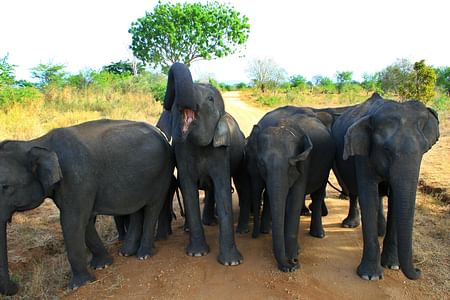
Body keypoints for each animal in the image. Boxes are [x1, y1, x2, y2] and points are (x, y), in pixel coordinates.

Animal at [0, 119, 174, 296]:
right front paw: (102, 265)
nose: (16, 286)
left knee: (153, 207)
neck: (36, 142)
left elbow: (72, 222)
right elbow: (85, 221)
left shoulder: (77, 178)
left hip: (162, 173)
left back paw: (143, 255)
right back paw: (126, 252)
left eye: (5, 187)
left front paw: (79, 285)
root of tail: (161, 134)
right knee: (137, 208)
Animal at [156, 62, 250, 266]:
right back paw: (195, 227)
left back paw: (213, 222)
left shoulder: (221, 151)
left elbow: (222, 188)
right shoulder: (182, 152)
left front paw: (232, 263)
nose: (168, 100)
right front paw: (197, 254)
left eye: (210, 99)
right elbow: (188, 188)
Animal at [244, 105, 336, 272]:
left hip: (327, 166)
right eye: (261, 165)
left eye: (291, 166)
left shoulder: (305, 162)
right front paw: (292, 258)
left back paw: (318, 235)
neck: (283, 124)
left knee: (318, 194)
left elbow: (294, 200)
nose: (294, 263)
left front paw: (293, 258)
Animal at [332, 93, 442, 282]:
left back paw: (380, 231)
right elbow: (368, 195)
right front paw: (370, 276)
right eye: (386, 149)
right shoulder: (363, 155)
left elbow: (396, 198)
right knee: (354, 191)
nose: (419, 270)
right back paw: (350, 224)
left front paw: (393, 265)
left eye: (424, 149)